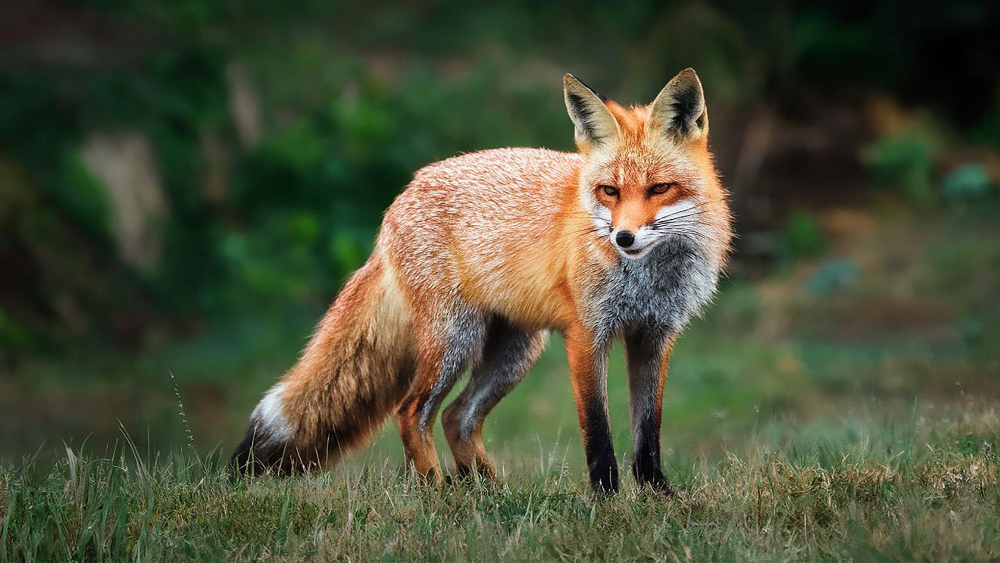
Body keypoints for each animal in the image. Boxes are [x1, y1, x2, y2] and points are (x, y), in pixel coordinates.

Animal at [231, 68, 732, 493]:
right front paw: (607, 499)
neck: (650, 277)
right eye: (609, 191)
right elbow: (598, 432)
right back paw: (438, 494)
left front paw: (658, 496)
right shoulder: (588, 334)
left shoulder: (655, 335)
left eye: (658, 189)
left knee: (458, 417)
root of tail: (401, 197)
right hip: (455, 340)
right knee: (411, 413)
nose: (622, 237)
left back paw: (489, 495)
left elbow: (648, 429)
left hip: (514, 353)